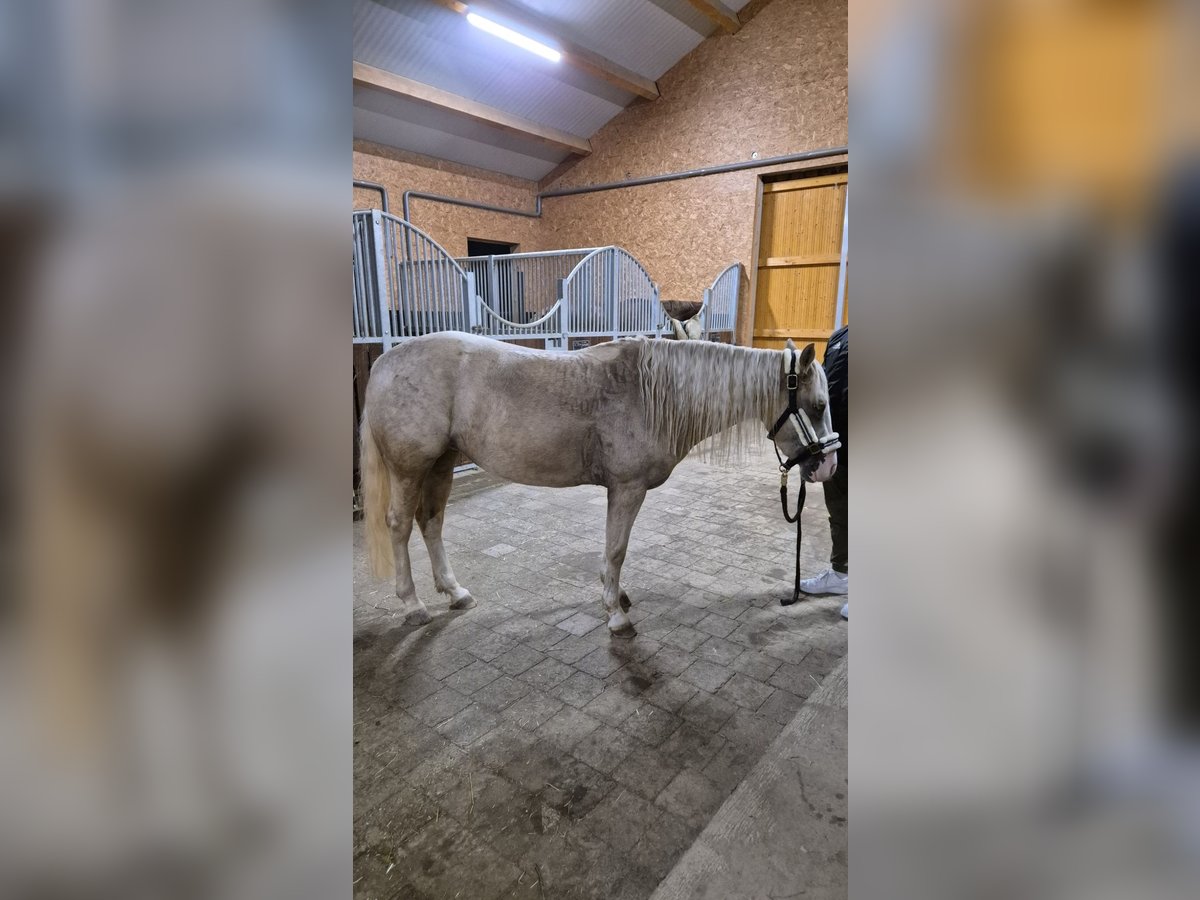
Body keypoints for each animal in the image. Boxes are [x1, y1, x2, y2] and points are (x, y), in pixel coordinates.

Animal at [360, 331, 840, 633]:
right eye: (817, 405)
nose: (828, 468)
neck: (651, 394)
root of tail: (385, 360)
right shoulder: (627, 488)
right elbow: (616, 549)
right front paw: (616, 614)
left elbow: (614, 551)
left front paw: (616, 595)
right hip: (410, 468)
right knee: (399, 526)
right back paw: (413, 605)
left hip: (440, 464)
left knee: (431, 522)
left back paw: (455, 592)